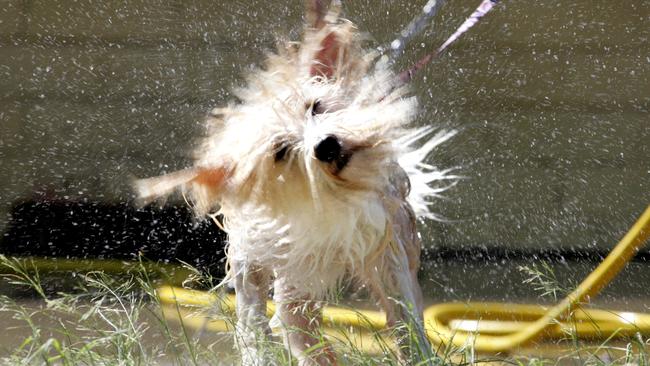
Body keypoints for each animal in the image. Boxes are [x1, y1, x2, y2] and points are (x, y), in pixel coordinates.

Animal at [134, 1, 454, 364]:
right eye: (282, 151)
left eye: (315, 106)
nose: (326, 145)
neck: (331, 202)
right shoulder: (266, 263)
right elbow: (263, 323)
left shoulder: (385, 247)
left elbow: (403, 314)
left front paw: (416, 351)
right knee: (285, 323)